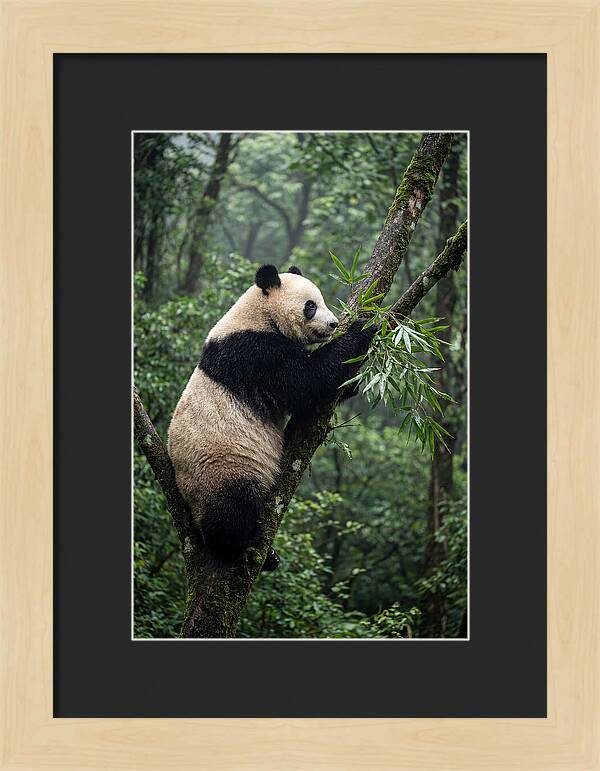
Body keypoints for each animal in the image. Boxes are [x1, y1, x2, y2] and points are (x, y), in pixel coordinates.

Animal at [167, 264, 374, 570]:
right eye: (310, 306)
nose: (334, 324)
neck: (259, 314)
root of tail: (187, 499)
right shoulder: (253, 353)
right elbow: (306, 380)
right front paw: (364, 327)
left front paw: (353, 382)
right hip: (220, 468)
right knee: (232, 508)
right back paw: (242, 543)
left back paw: (270, 556)